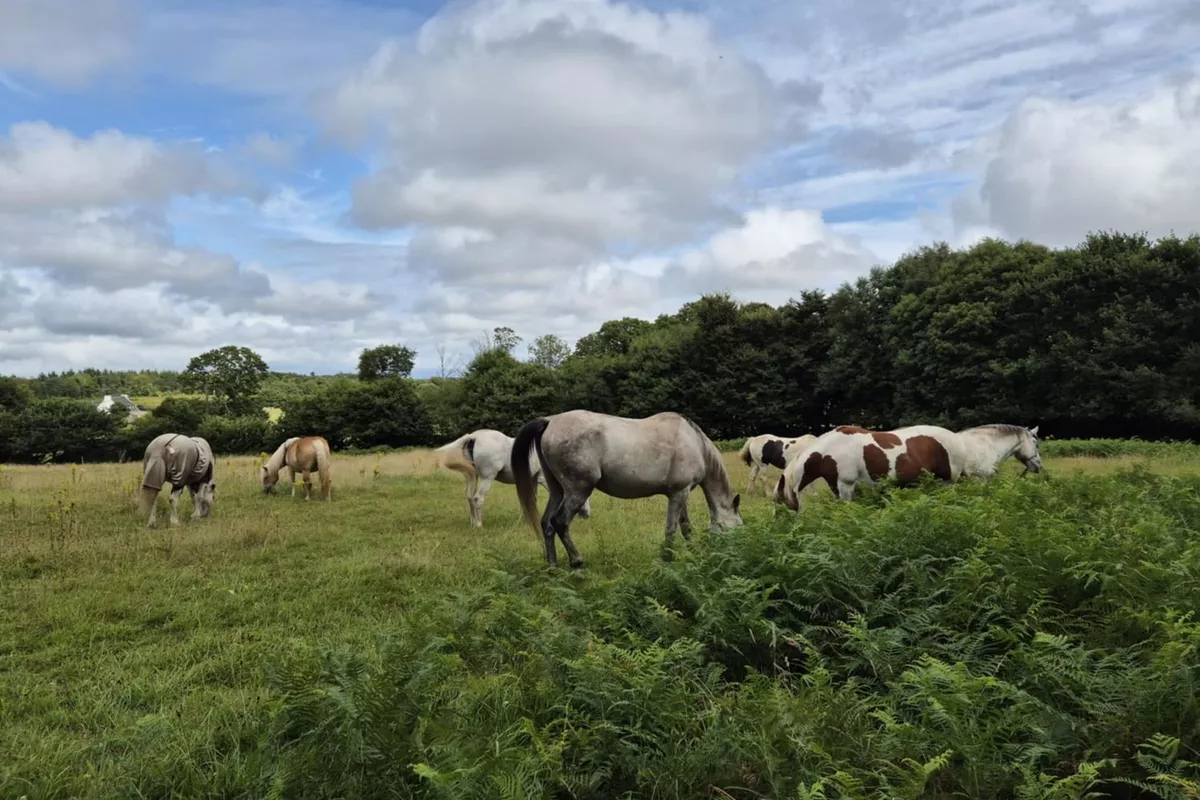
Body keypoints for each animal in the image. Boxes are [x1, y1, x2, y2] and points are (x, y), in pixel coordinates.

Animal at [511, 409, 743, 569]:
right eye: (738, 527)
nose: (733, 555)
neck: (695, 443)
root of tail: (550, 421)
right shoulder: (679, 493)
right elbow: (671, 528)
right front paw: (667, 559)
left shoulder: (680, 493)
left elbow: (686, 527)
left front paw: (692, 552)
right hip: (578, 490)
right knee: (560, 522)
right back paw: (577, 562)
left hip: (557, 491)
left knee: (547, 524)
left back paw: (553, 566)